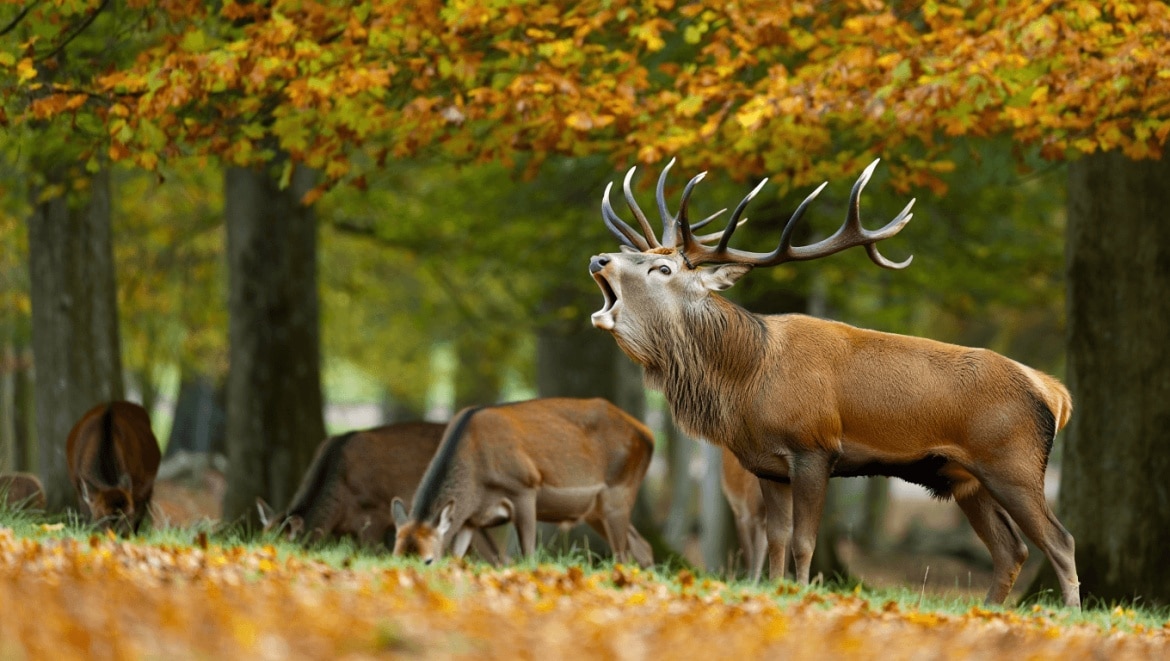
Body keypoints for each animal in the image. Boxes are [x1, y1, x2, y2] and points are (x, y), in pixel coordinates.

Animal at [392, 397, 655, 568]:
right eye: (396, 555)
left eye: (427, 560)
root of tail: (648, 435)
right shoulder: (471, 518)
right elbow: (457, 557)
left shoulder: (525, 487)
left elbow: (528, 554)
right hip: (595, 510)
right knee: (642, 547)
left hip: (620, 491)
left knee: (623, 555)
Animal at [588, 159, 1080, 608]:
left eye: (663, 269)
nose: (599, 257)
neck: (746, 378)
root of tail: (1055, 393)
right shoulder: (768, 465)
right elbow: (778, 538)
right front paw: (776, 591)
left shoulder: (814, 448)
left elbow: (804, 540)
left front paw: (803, 594)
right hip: (965, 479)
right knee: (1010, 549)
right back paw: (990, 610)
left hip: (1013, 464)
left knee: (1060, 540)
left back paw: (1068, 614)